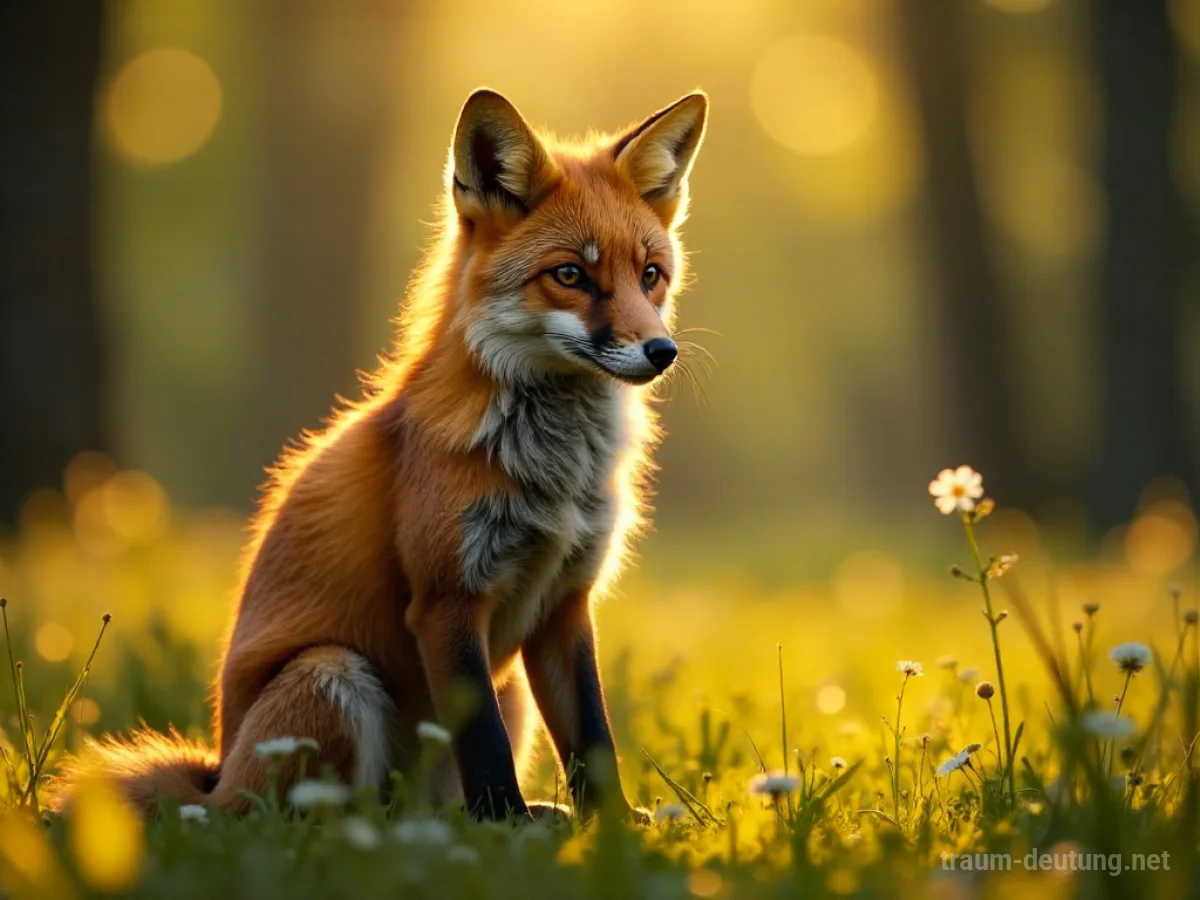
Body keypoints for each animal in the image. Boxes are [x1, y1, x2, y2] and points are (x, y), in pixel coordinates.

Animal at [51, 87, 707, 822]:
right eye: (570, 275)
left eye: (650, 276)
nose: (661, 351)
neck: (555, 477)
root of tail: (216, 780)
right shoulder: (447, 598)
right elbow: (484, 744)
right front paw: (506, 825)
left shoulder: (565, 603)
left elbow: (592, 735)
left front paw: (613, 826)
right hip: (333, 671)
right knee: (331, 821)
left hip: (503, 690)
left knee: (415, 817)